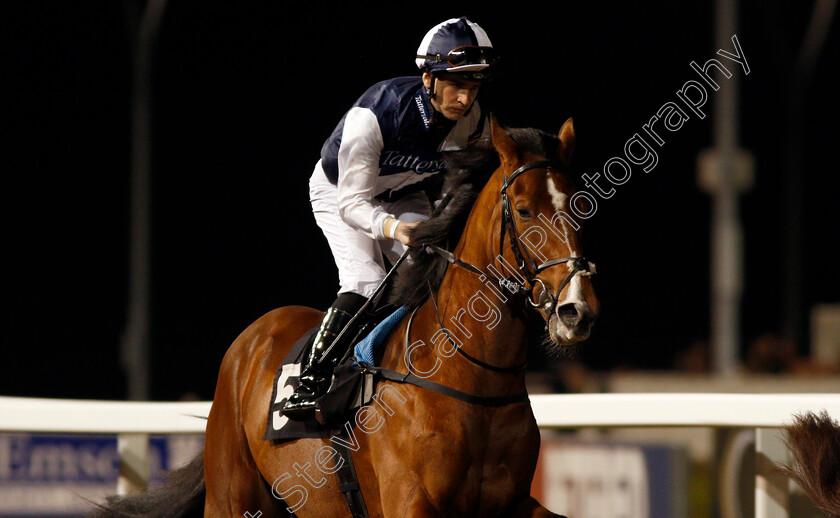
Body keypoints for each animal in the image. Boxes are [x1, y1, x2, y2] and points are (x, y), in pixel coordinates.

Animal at [90, 119, 596, 518]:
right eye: (525, 210)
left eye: (579, 208)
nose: (577, 310)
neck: (472, 377)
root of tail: (252, 337)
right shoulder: (411, 502)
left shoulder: (513, 502)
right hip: (233, 497)